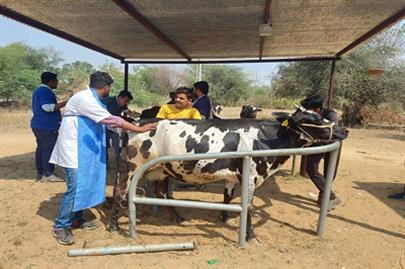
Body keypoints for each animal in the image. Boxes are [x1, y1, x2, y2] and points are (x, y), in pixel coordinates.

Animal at [109, 106, 346, 239]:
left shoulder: (233, 175)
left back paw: (177, 217)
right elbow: (248, 206)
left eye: (319, 116)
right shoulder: (251, 176)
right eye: (314, 120)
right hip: (131, 167)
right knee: (119, 192)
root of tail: (137, 120)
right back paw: (113, 225)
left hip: (161, 170)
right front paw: (250, 235)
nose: (343, 130)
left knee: (161, 193)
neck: (266, 137)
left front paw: (224, 217)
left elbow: (228, 197)